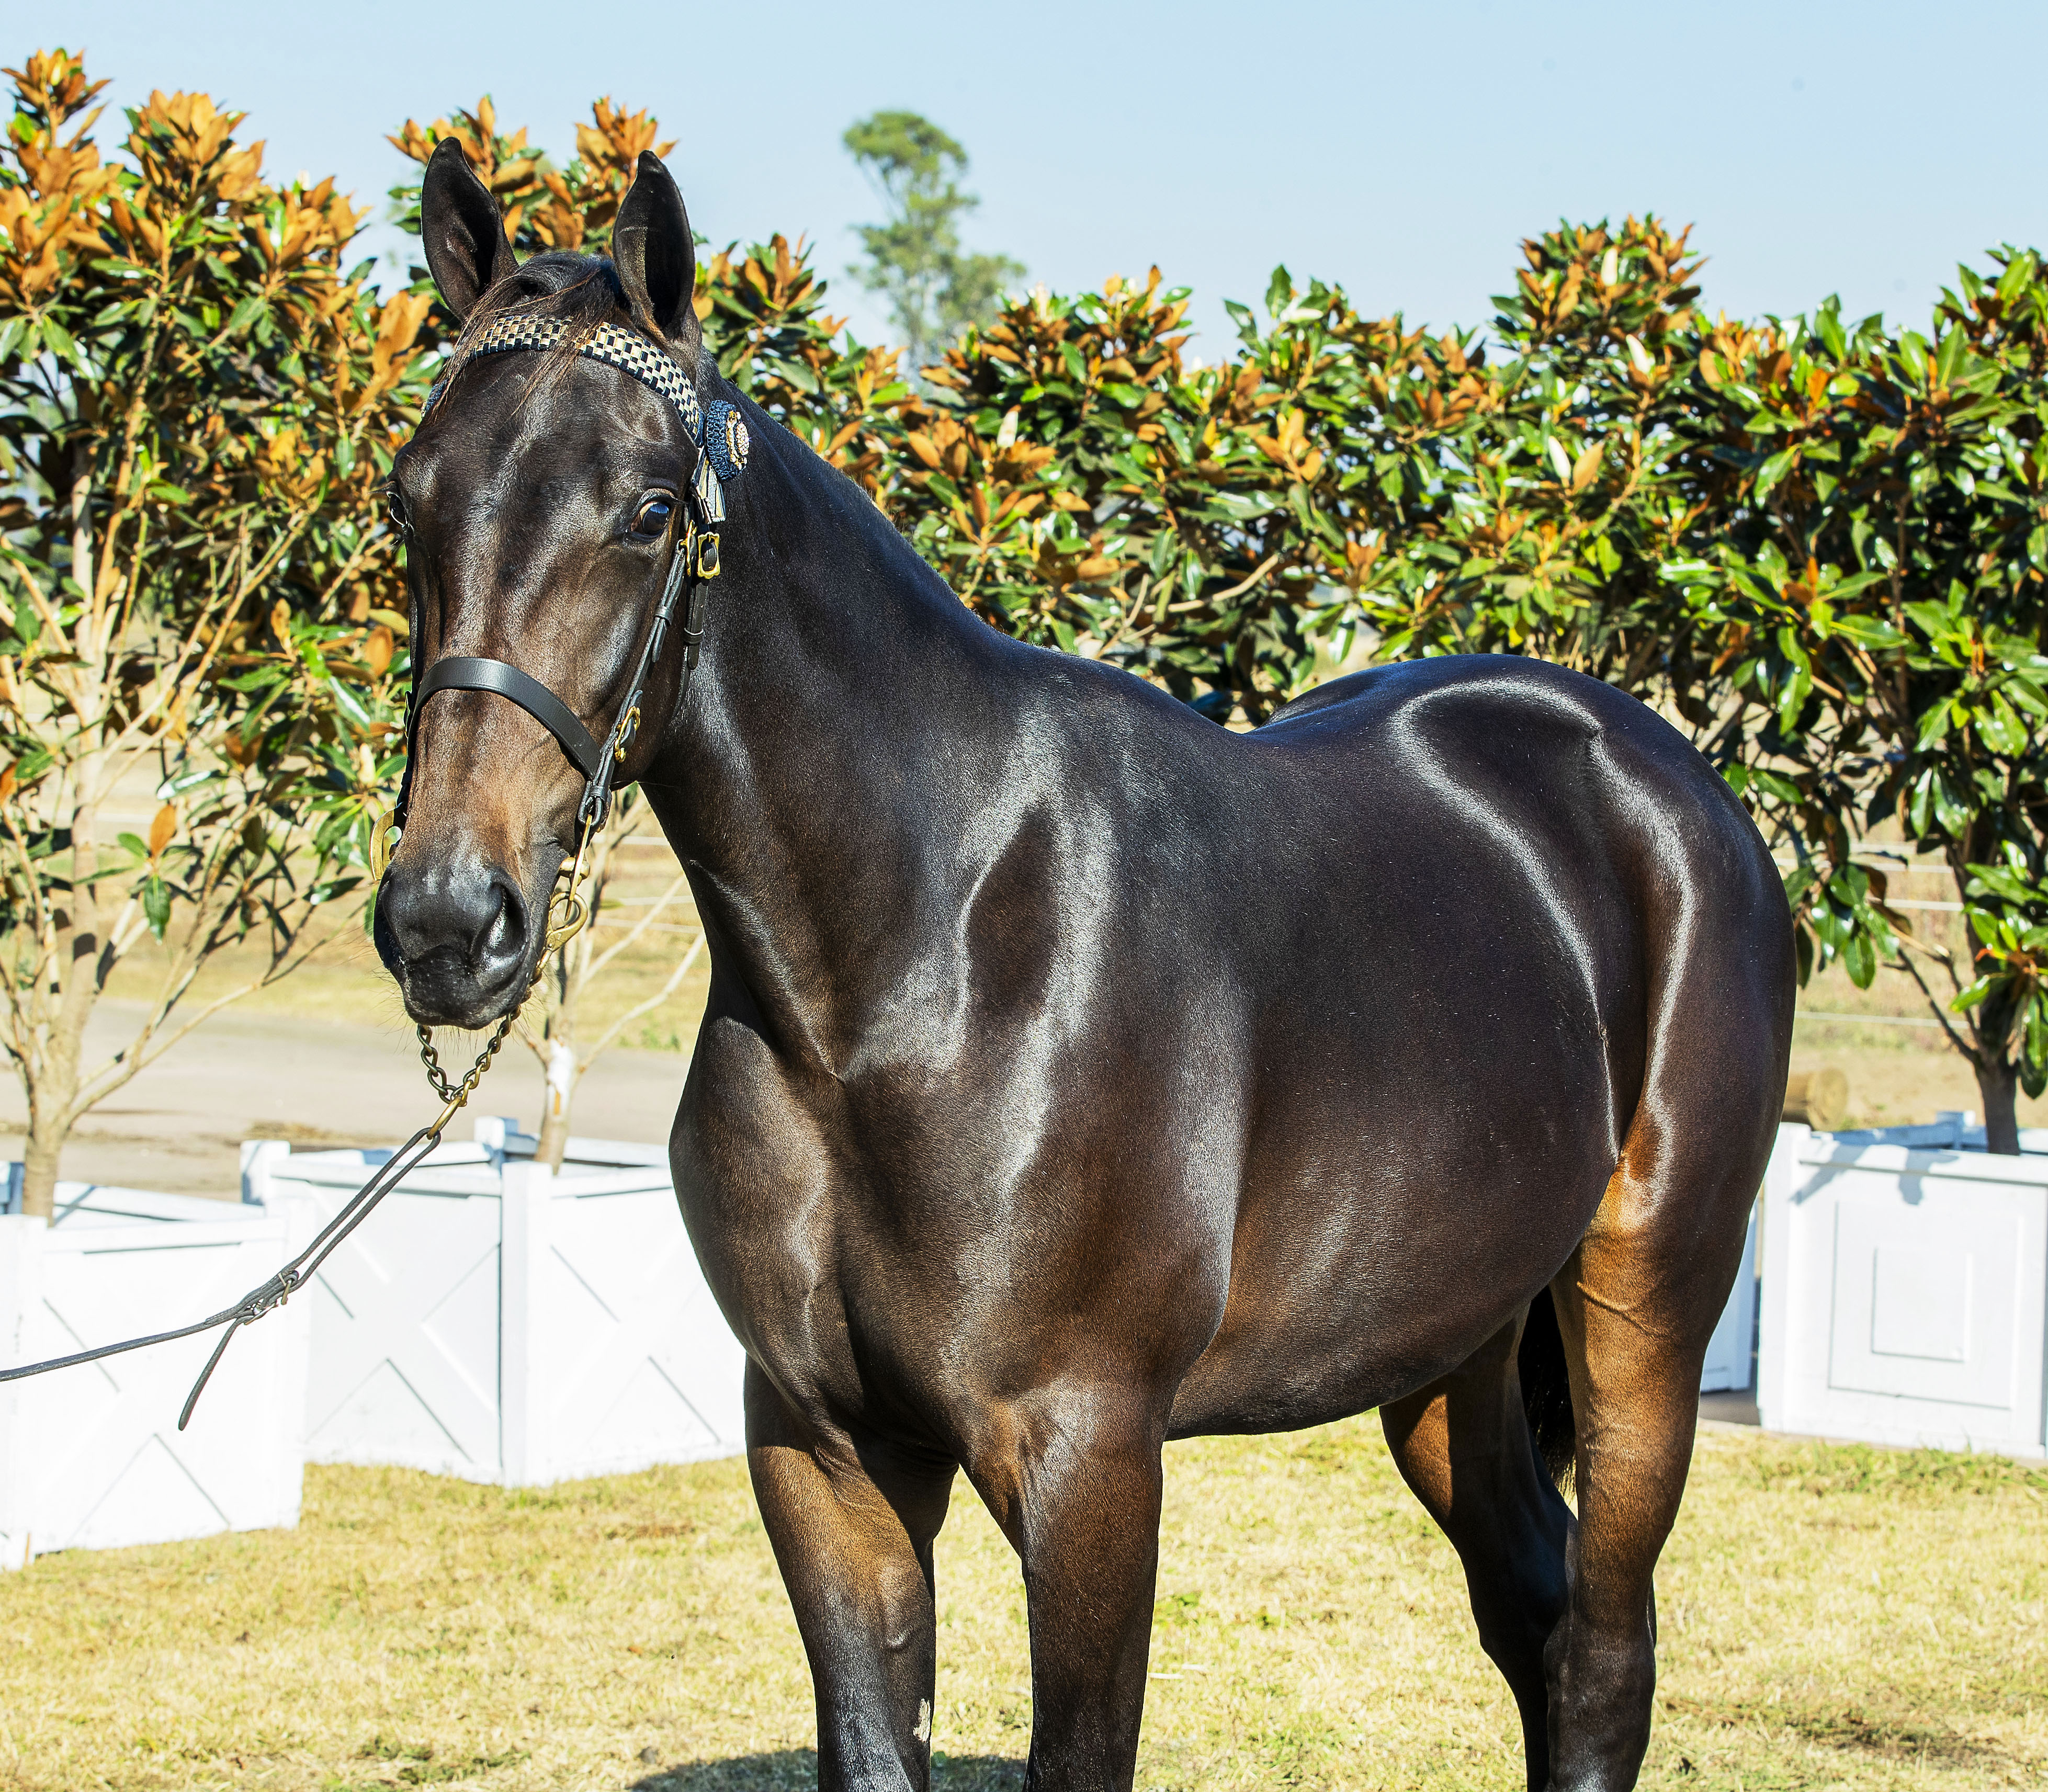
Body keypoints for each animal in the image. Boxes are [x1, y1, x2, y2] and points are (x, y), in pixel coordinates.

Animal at [376, 141, 1794, 1792]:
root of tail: (1667, 791)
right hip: (1453, 1357)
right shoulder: (822, 1450)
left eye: (651, 510)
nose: (446, 922)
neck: (913, 970)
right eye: (411, 499)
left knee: (1603, 1652)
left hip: (1644, 1313)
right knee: (1535, 1609)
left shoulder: (1090, 1458)